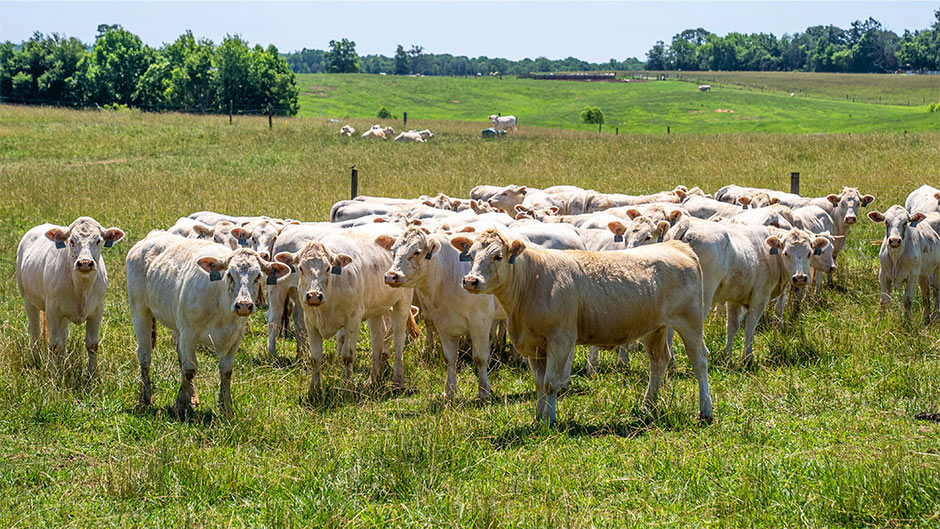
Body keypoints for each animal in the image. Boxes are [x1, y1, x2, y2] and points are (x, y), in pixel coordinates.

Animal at [15, 214, 125, 376]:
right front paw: (53, 375)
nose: (85, 262)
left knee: (63, 335)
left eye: (98, 240)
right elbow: (54, 345)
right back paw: (36, 359)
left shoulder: (97, 309)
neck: (81, 288)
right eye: (72, 241)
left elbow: (92, 344)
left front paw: (92, 375)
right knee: (35, 330)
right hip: (28, 300)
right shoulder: (53, 310)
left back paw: (62, 361)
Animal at [126, 231, 290, 416]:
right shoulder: (189, 332)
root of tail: (152, 235)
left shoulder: (236, 336)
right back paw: (145, 398)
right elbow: (189, 369)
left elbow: (225, 370)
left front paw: (226, 407)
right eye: (229, 274)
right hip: (140, 310)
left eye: (258, 276)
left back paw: (191, 396)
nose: (243, 305)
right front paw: (181, 405)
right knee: (145, 355)